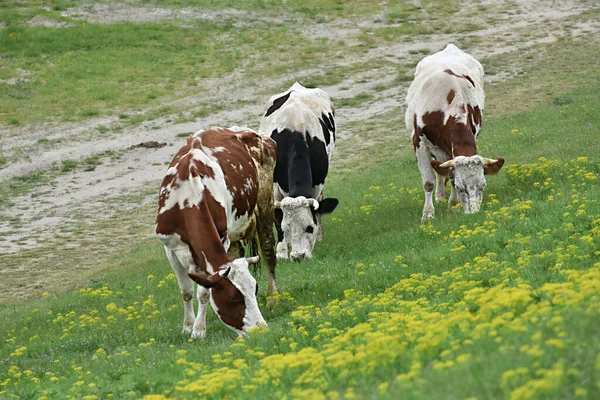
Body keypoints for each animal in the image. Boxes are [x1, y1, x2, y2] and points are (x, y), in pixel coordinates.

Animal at [154, 127, 278, 338]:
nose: (260, 329)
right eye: (234, 297)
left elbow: (203, 292)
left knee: (269, 252)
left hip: (265, 205)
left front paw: (199, 330)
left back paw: (273, 298)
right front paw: (187, 327)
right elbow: (186, 291)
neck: (189, 196)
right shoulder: (170, 247)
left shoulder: (222, 238)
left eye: (255, 289)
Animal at [260, 81, 340, 262]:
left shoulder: (318, 183)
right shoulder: (274, 185)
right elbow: (277, 217)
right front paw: (281, 251)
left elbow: (317, 208)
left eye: (309, 228)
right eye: (286, 229)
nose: (298, 256)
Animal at [404, 44, 506, 222]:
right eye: (461, 187)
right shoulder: (419, 143)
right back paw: (439, 196)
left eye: (483, 185)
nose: (474, 212)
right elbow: (428, 181)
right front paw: (428, 214)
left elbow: (449, 174)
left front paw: (453, 205)